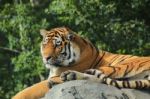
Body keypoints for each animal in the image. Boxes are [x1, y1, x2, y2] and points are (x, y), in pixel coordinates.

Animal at [12, 26, 149, 98]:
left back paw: (64, 77)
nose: (46, 57)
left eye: (57, 45)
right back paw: (69, 76)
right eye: (45, 44)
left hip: (122, 65)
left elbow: (28, 90)